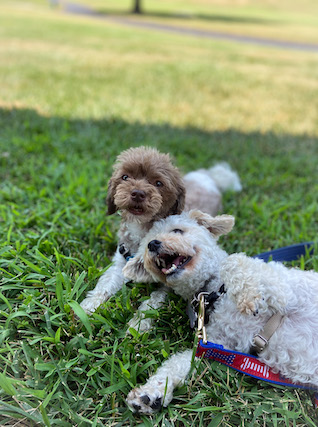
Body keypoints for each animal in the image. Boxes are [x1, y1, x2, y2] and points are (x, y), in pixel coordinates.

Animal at [79, 147, 241, 314]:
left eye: (158, 183)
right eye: (125, 177)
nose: (138, 193)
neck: (141, 228)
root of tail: (208, 176)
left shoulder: (169, 284)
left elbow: (153, 301)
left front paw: (139, 320)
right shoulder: (120, 262)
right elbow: (105, 282)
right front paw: (88, 306)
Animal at [123, 212, 318, 416]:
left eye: (177, 230)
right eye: (146, 244)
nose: (153, 244)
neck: (213, 292)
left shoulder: (286, 290)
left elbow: (233, 261)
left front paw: (248, 296)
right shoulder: (216, 343)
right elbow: (179, 362)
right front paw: (151, 393)